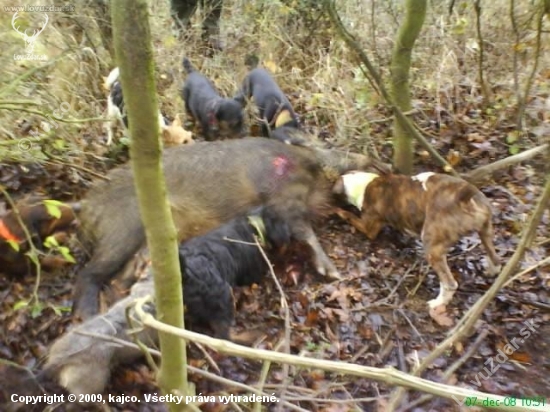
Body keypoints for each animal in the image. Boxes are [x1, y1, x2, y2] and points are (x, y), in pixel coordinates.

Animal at [181, 204, 294, 340]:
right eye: (282, 222)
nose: (290, 235)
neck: (253, 225)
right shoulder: (252, 272)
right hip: (223, 298)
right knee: (223, 330)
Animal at [334, 171, 502, 308]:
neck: (364, 184)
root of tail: (465, 199)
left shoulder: (368, 227)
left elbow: (350, 216)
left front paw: (338, 211)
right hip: (486, 231)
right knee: (495, 257)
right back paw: (491, 272)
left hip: (432, 245)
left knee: (450, 283)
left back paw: (437, 303)